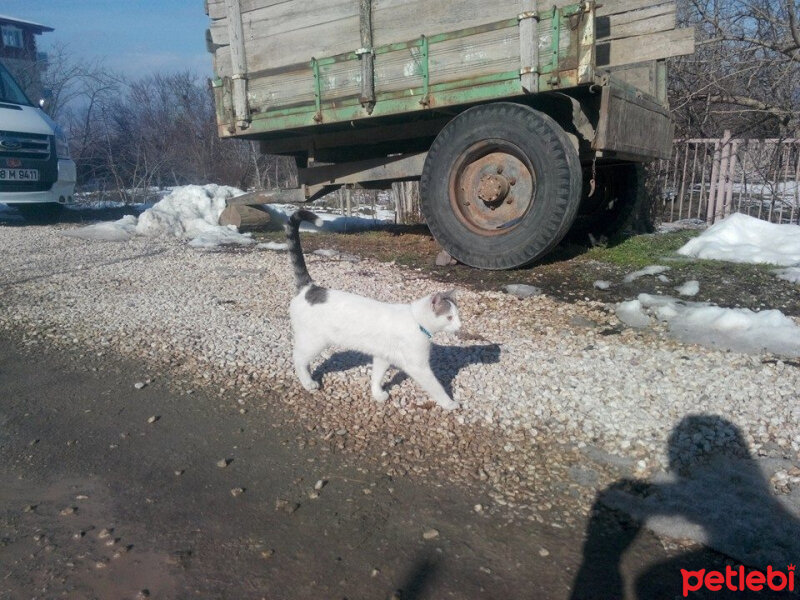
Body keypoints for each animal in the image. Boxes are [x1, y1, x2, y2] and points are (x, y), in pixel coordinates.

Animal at [286, 209, 462, 410]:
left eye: (457, 315)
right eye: (449, 317)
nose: (459, 326)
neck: (416, 321)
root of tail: (310, 288)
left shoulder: (382, 357)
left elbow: (377, 376)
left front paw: (377, 393)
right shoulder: (419, 367)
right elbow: (436, 387)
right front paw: (450, 403)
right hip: (314, 341)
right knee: (298, 358)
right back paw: (308, 383)